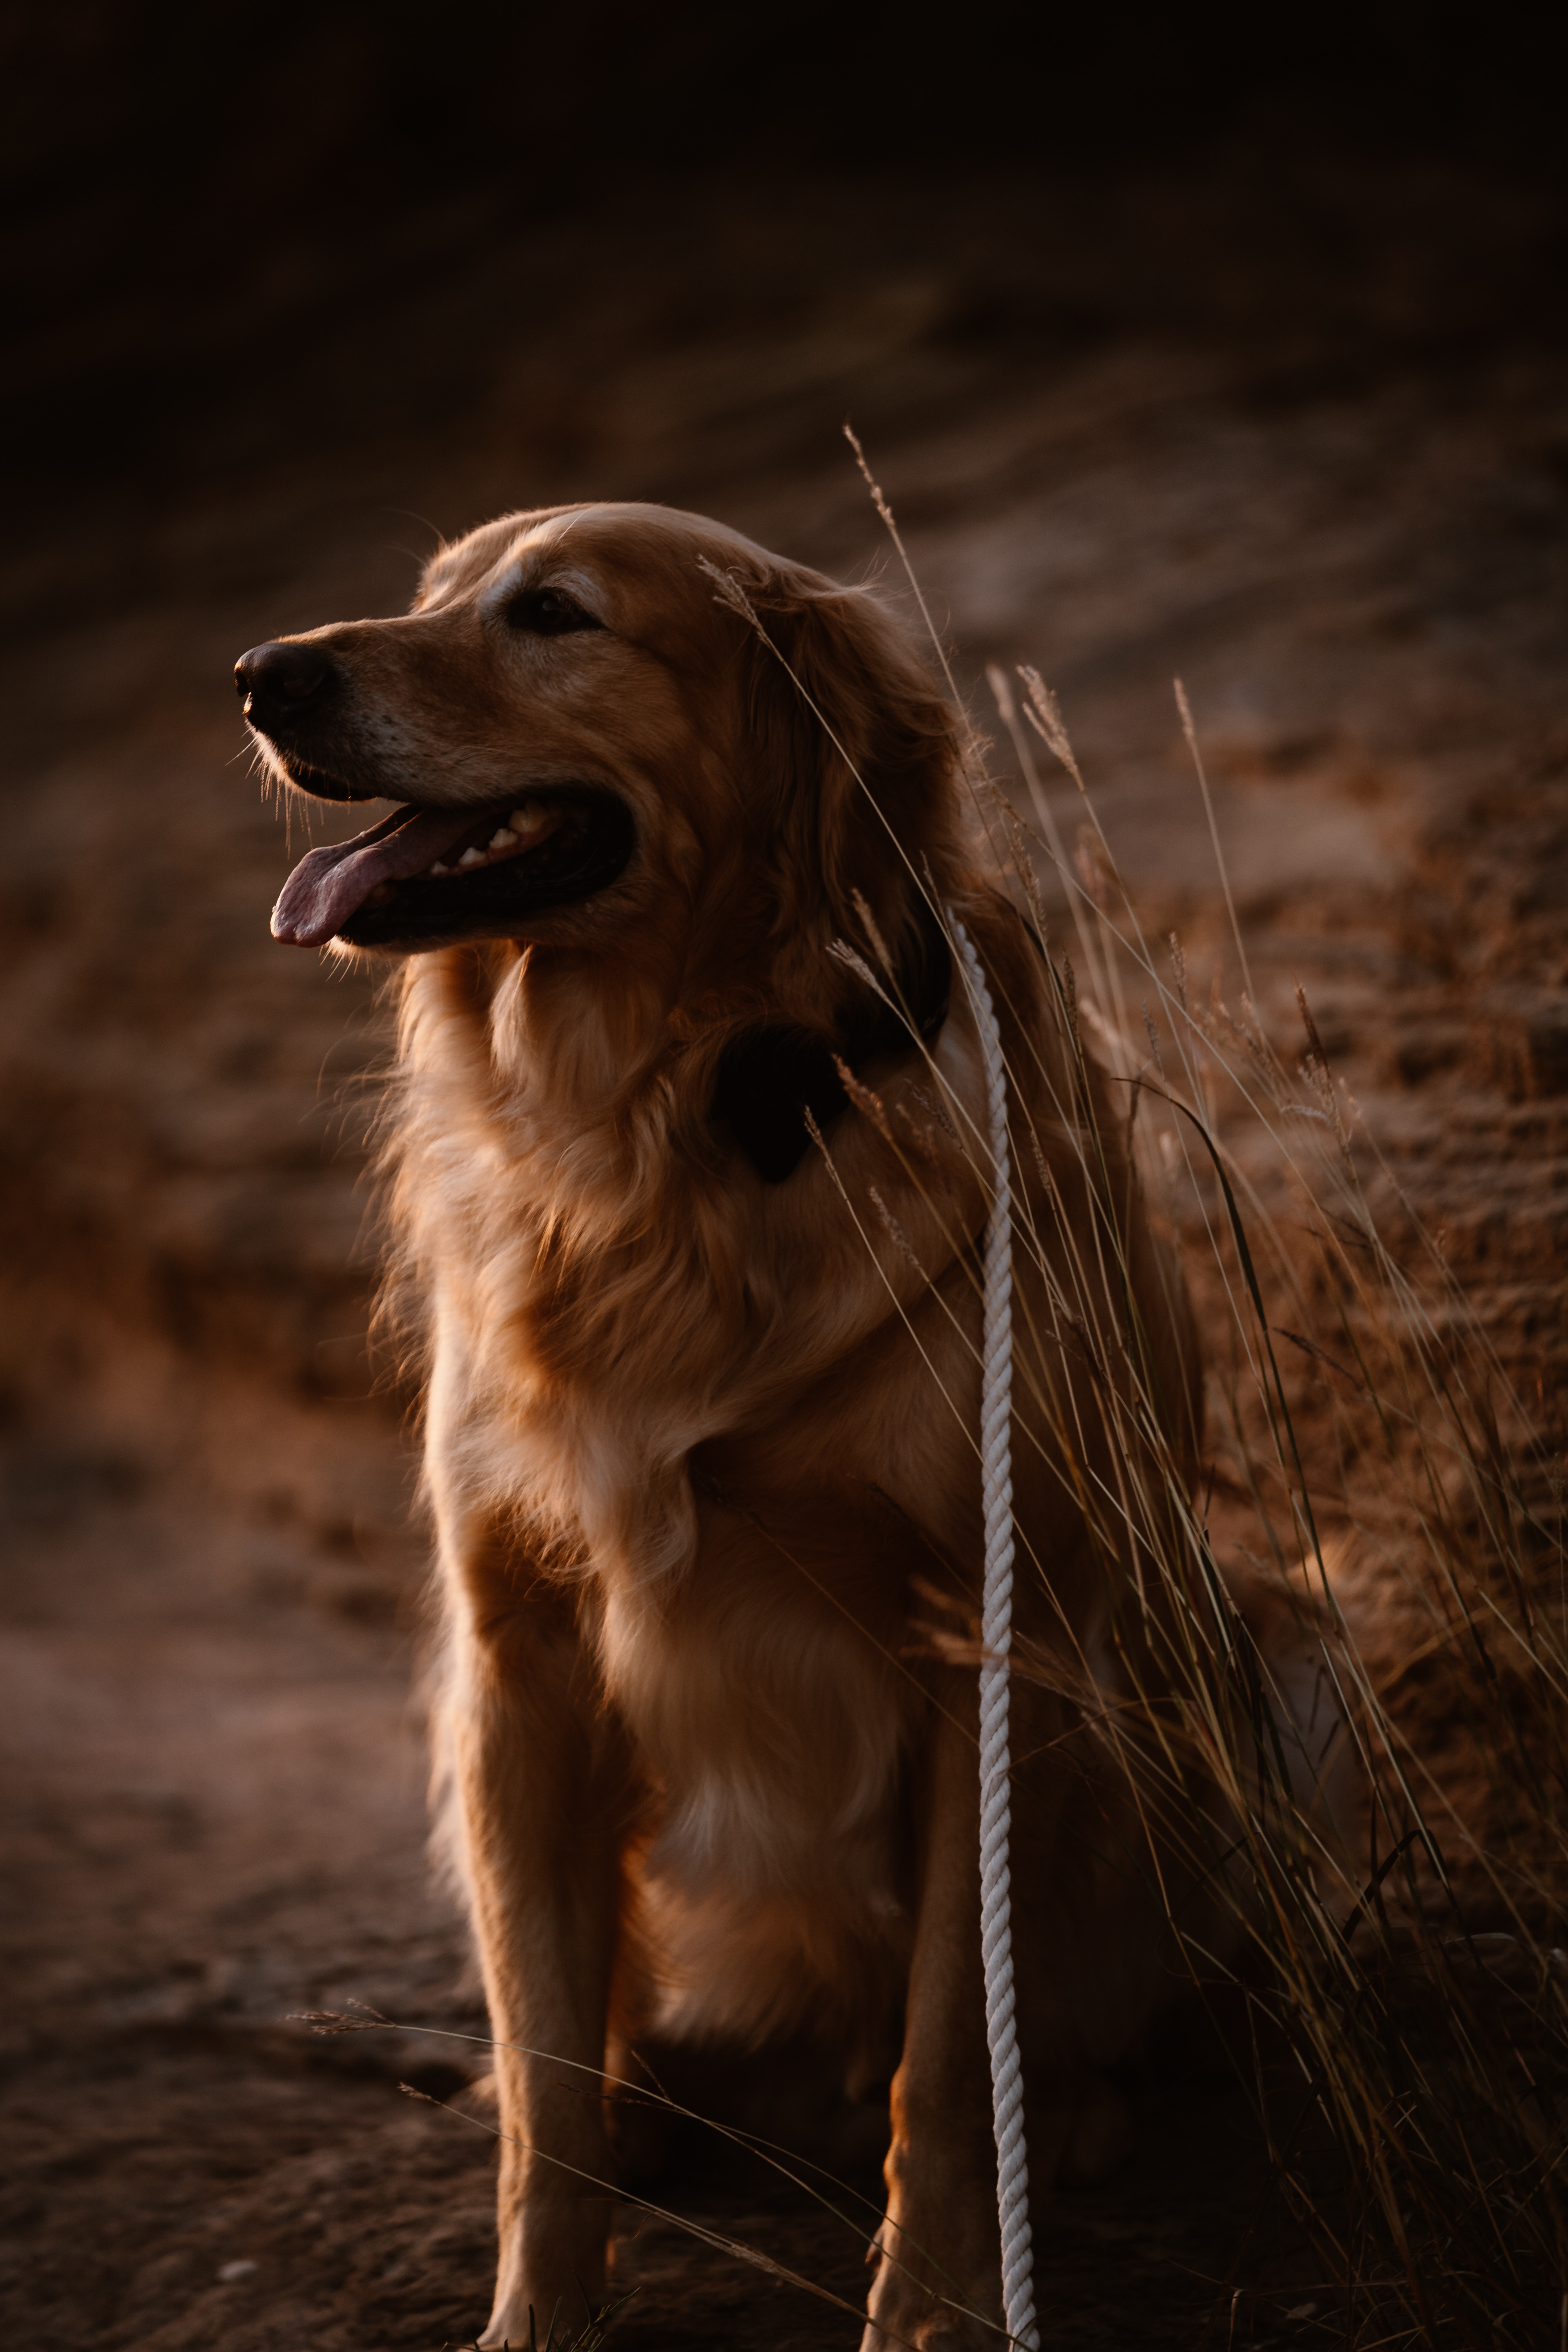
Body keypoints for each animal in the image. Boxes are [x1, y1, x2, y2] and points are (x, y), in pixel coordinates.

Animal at [240, 506, 1213, 2343]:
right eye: (425, 593)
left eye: (553, 613)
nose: (260, 673)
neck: (677, 1123)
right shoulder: (516, 1658)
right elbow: (544, 2086)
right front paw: (537, 2312)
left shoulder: (997, 1640)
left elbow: (945, 2053)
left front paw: (937, 2303)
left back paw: (1091, 2119)